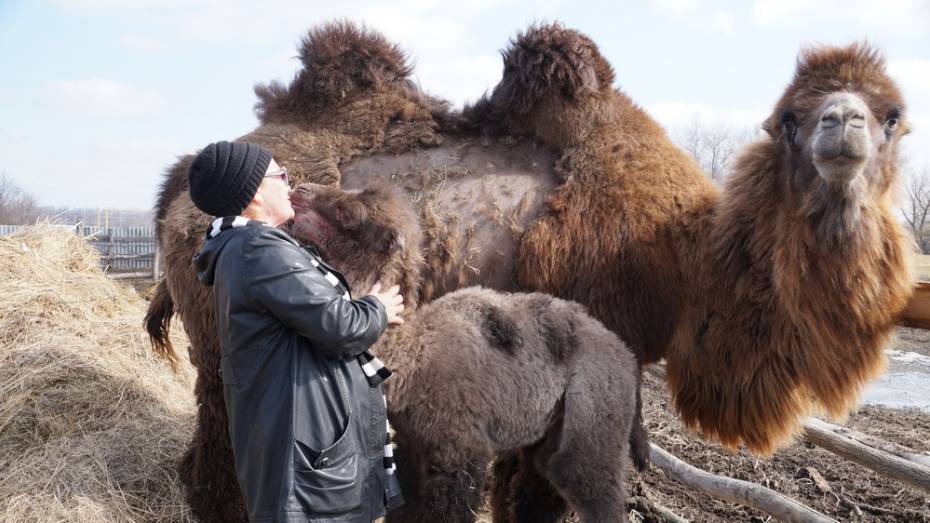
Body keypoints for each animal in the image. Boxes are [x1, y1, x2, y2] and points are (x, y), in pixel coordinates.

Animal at [143, 19, 908, 520]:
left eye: (894, 114)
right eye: (790, 117)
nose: (843, 127)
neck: (681, 250)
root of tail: (178, 183)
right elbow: (537, 493)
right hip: (221, 349)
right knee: (218, 463)